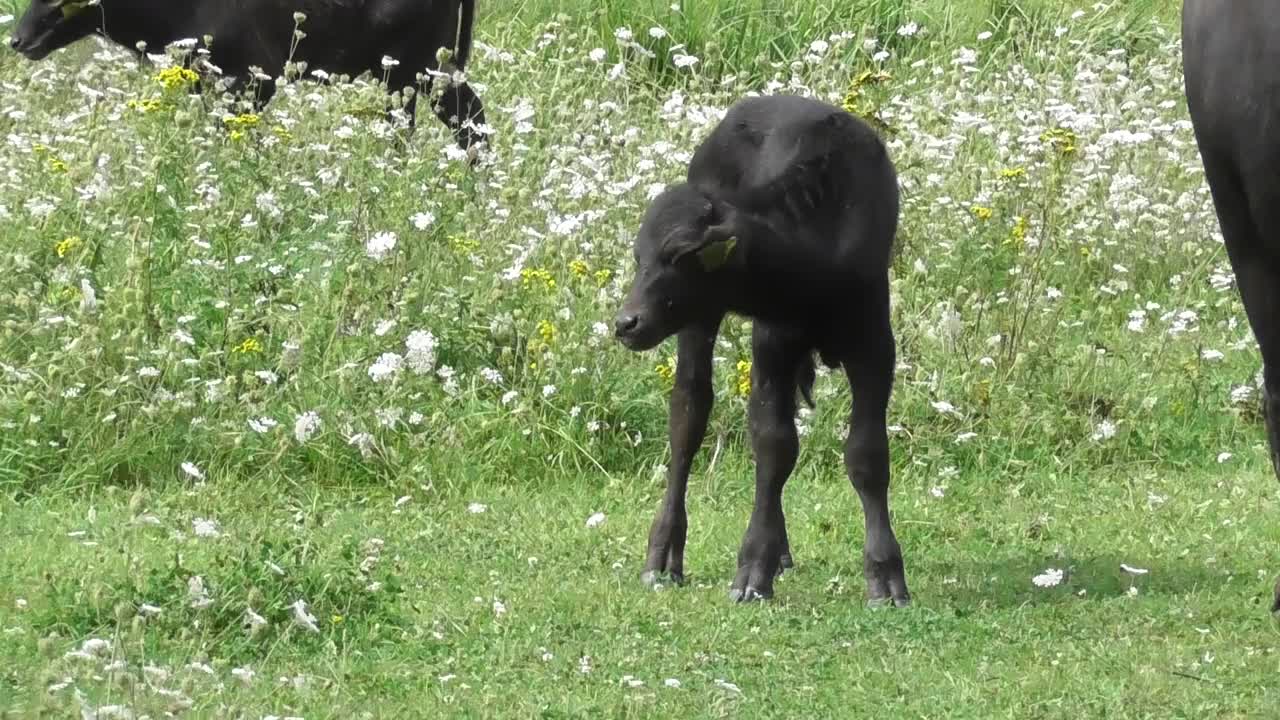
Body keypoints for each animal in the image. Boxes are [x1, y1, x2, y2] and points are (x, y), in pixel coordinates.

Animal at [611, 92, 906, 602]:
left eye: (678, 255)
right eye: (640, 258)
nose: (627, 322)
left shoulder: (873, 345)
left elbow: (867, 454)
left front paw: (885, 574)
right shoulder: (773, 340)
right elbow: (773, 446)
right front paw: (753, 569)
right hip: (698, 322)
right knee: (688, 415)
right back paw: (664, 553)